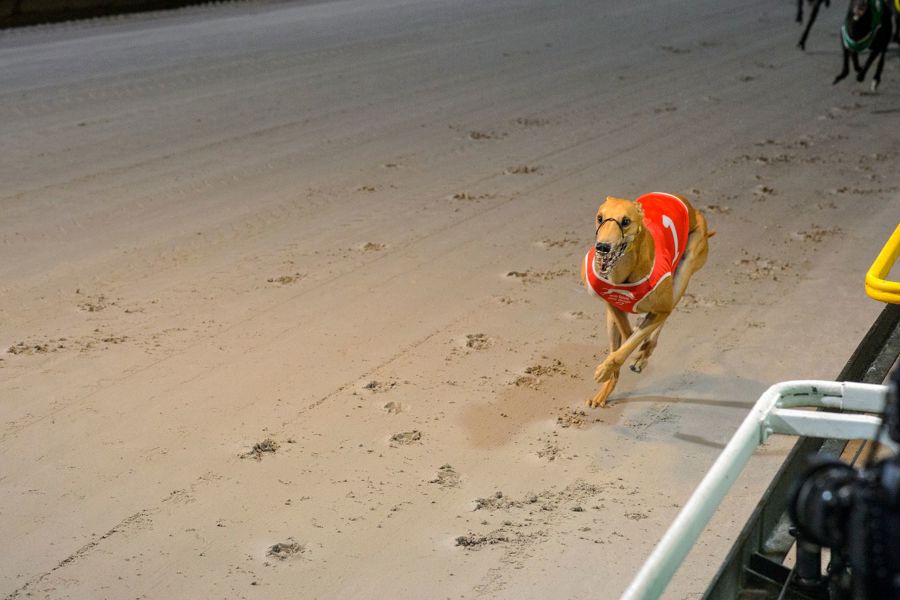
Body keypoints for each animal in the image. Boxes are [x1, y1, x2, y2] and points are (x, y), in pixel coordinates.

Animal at [580, 193, 712, 408]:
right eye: (600, 218)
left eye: (626, 221)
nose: (602, 247)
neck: (624, 274)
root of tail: (690, 205)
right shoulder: (613, 305)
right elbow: (628, 336)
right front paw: (616, 365)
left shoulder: (662, 308)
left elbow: (633, 340)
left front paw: (619, 363)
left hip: (685, 270)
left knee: (661, 321)